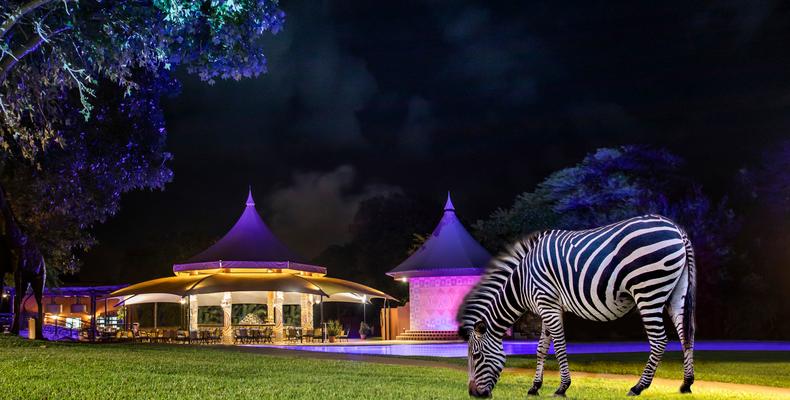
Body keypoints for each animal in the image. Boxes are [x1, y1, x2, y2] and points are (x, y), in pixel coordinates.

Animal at [460, 216, 696, 396]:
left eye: (476, 356)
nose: (473, 394)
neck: (523, 280)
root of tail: (677, 229)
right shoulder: (547, 307)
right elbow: (541, 348)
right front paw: (535, 387)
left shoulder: (548, 304)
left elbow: (559, 346)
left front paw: (562, 387)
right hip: (677, 292)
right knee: (686, 335)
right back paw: (686, 384)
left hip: (648, 290)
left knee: (659, 340)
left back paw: (638, 387)